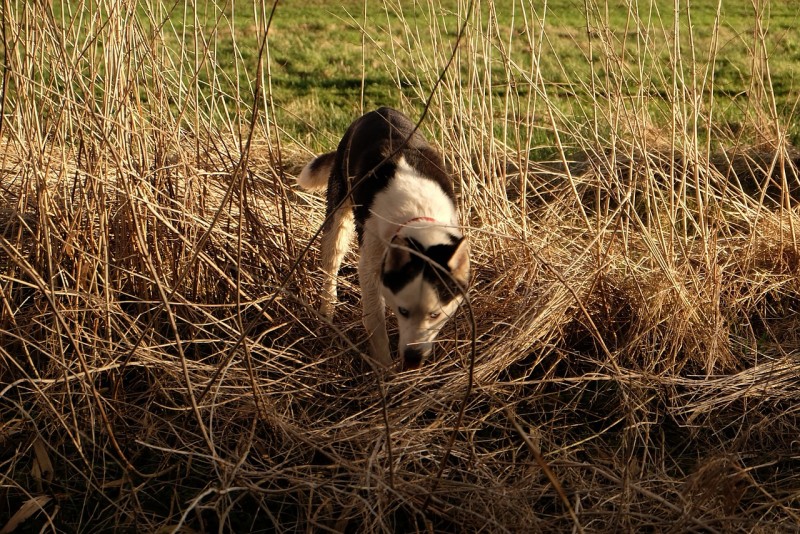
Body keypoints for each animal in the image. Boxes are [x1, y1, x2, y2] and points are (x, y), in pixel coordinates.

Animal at [296, 107, 468, 370]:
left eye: (435, 314)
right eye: (403, 311)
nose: (413, 360)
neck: (417, 214)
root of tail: (378, 110)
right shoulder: (370, 263)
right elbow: (376, 321)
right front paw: (384, 370)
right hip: (338, 219)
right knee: (331, 265)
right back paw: (327, 311)